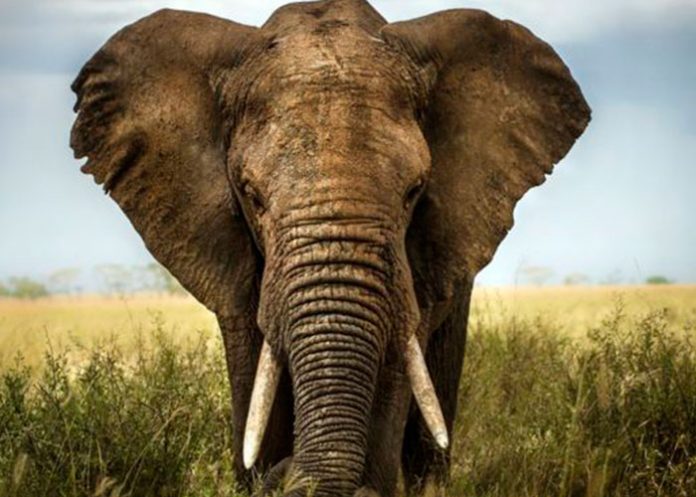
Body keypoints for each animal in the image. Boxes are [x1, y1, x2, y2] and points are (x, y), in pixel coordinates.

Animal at [70, 0, 590, 495]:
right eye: (251, 195)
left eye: (414, 191)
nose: (286, 472)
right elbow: (253, 376)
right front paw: (260, 471)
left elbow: (395, 371)